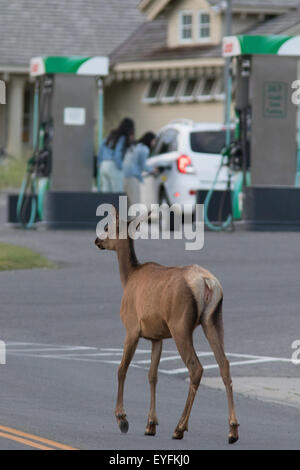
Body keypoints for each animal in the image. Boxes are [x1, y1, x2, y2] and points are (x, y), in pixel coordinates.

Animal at [95, 207, 240, 442]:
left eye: (108, 227)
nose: (97, 240)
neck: (129, 277)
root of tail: (207, 283)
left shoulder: (132, 328)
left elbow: (121, 369)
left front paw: (122, 419)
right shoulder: (157, 337)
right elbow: (152, 375)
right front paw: (150, 424)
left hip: (180, 325)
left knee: (196, 368)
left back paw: (179, 427)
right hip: (213, 320)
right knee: (224, 364)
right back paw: (233, 429)